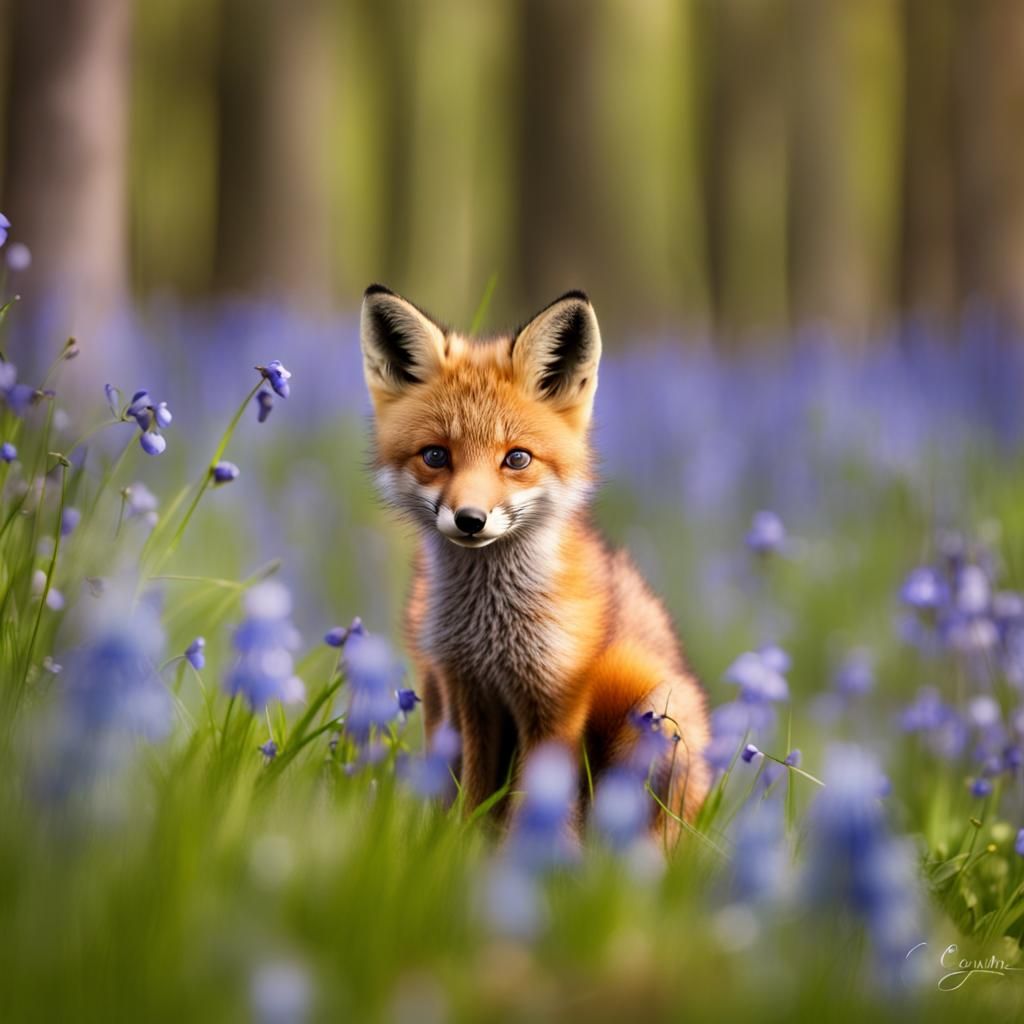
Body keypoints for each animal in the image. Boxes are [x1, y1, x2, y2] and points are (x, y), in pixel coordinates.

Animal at [359, 284, 711, 838]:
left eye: (517, 458)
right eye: (436, 456)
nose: (470, 520)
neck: (491, 630)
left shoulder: (556, 698)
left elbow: (535, 806)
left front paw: (534, 854)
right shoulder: (471, 693)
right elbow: (477, 798)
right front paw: (461, 848)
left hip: (649, 707)